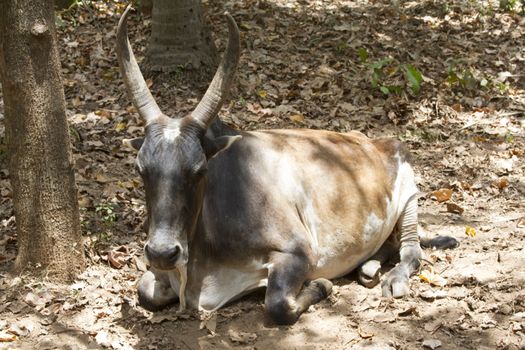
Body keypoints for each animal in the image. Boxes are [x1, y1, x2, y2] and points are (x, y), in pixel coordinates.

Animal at [114, 5, 454, 324]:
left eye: (199, 170)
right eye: (141, 169)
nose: (162, 252)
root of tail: (376, 140)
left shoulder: (298, 252)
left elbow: (278, 305)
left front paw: (321, 286)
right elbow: (144, 292)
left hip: (409, 192)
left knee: (411, 250)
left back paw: (393, 278)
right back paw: (367, 267)